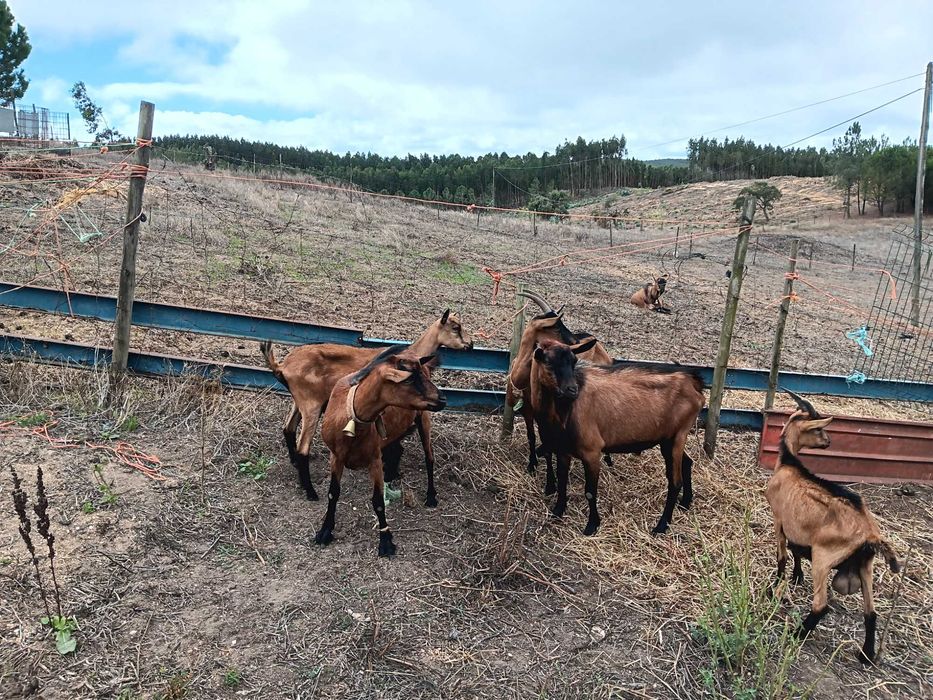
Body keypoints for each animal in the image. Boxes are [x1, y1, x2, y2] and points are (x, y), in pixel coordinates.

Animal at [260, 309, 471, 504]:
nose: (470, 345)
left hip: (300, 402)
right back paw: (311, 491)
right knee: (303, 446)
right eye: (455, 327)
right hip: (311, 405)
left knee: (288, 428)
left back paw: (295, 464)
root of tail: (281, 366)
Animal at [316, 346, 446, 556]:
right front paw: (325, 531)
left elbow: (377, 501)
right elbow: (332, 493)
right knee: (398, 450)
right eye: (409, 379)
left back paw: (431, 496)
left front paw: (386, 542)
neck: (352, 419)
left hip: (424, 417)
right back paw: (392, 474)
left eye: (420, 375)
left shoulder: (374, 459)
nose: (443, 398)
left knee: (429, 457)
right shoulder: (336, 456)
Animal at [506, 290, 613, 494]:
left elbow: (549, 445)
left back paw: (608, 459)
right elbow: (531, 436)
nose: (575, 343)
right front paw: (532, 465)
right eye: (556, 327)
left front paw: (551, 483)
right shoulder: (528, 410)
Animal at [519, 337, 705, 535]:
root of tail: (693, 381)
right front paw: (557, 511)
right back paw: (685, 503)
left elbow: (590, 491)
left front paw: (592, 525)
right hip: (668, 438)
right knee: (687, 462)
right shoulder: (563, 450)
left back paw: (661, 526)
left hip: (678, 435)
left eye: (574, 361)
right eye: (548, 362)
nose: (572, 390)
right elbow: (562, 480)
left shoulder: (592, 451)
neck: (564, 411)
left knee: (675, 482)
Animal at [766, 390, 899, 664]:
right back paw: (866, 654)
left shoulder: (779, 520)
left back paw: (797, 634)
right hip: (865, 566)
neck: (789, 464)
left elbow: (782, 556)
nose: (828, 442)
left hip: (824, 558)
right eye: (818, 430)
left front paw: (775, 587)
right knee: (871, 612)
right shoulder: (798, 530)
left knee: (821, 605)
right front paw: (796, 577)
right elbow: (795, 551)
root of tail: (871, 535)